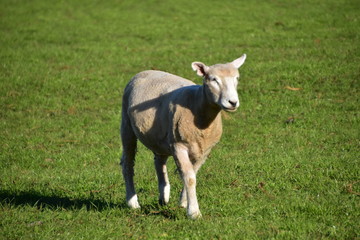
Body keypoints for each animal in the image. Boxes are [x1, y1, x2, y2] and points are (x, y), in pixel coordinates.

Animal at [121, 54, 248, 219]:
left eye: (236, 78)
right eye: (213, 79)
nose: (232, 102)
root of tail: (146, 71)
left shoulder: (204, 151)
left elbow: (192, 174)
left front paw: (183, 202)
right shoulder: (178, 146)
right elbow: (189, 178)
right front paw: (193, 211)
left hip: (161, 136)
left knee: (159, 162)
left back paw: (163, 197)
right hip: (127, 125)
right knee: (128, 163)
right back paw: (133, 202)